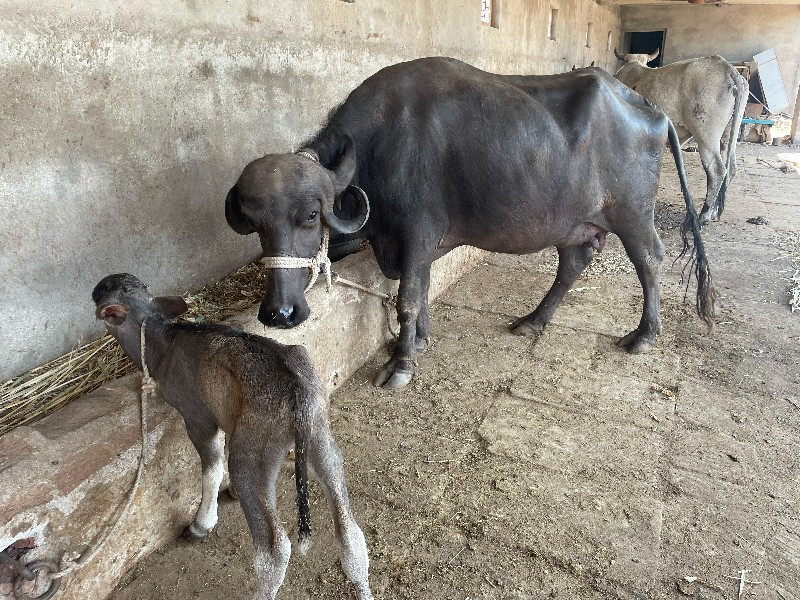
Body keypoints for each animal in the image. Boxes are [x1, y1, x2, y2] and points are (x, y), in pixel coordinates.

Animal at [92, 274, 374, 600]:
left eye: (101, 294)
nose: (95, 288)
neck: (161, 342)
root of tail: (297, 394)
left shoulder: (198, 417)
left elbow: (212, 467)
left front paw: (201, 523)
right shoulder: (228, 417)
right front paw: (230, 494)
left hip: (253, 452)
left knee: (274, 550)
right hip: (321, 440)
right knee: (350, 532)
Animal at [223, 57, 712, 390]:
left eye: (310, 215)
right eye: (255, 222)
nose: (281, 313)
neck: (380, 144)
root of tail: (653, 112)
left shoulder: (417, 232)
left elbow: (408, 298)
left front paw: (401, 364)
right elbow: (420, 289)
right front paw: (419, 341)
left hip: (632, 214)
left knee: (649, 261)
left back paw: (643, 335)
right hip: (574, 224)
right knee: (573, 263)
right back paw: (533, 321)